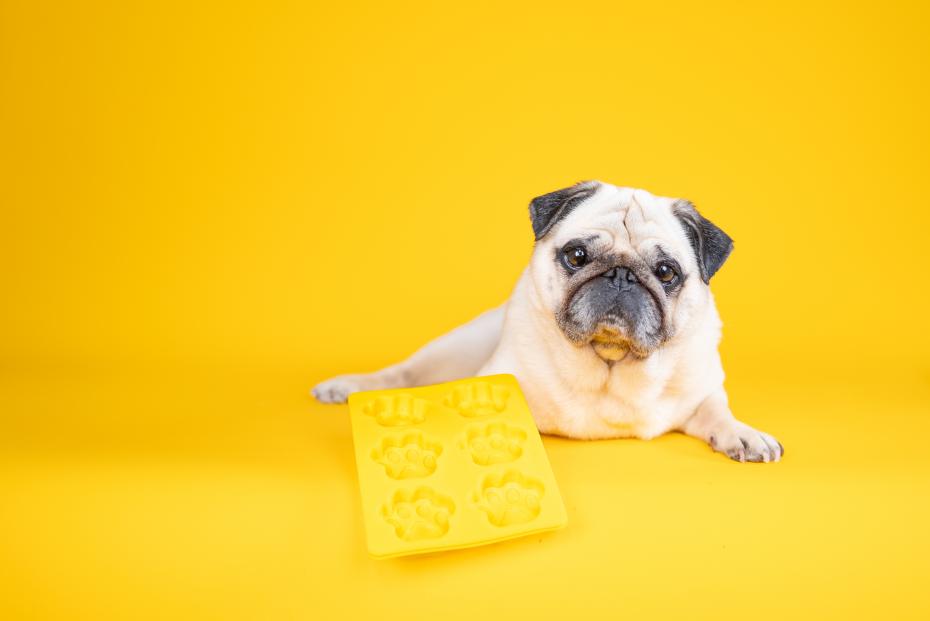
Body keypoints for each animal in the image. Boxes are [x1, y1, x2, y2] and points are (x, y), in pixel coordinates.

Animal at [314, 179, 784, 460]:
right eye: (576, 255)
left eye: (666, 272)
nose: (621, 275)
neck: (609, 366)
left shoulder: (700, 391)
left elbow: (717, 411)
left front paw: (743, 433)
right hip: (453, 349)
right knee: (404, 373)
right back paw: (348, 387)